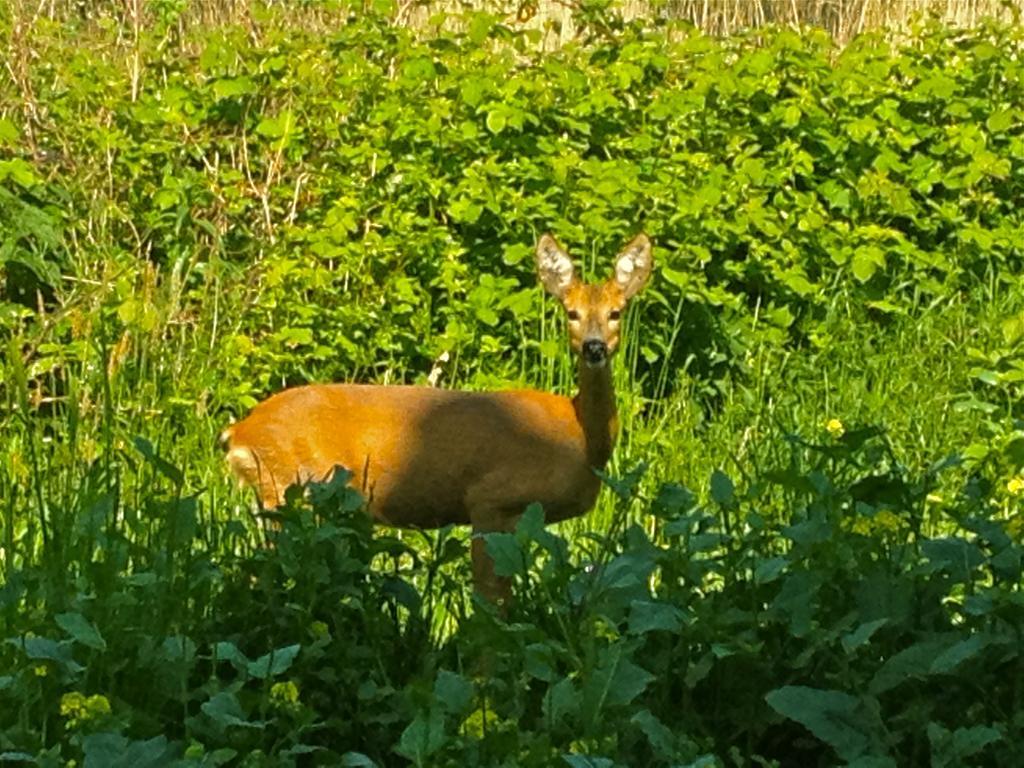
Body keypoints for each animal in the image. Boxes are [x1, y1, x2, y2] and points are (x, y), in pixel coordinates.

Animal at [224, 231, 655, 606]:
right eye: (572, 313)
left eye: (615, 313)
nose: (594, 348)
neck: (580, 437)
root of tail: (238, 432)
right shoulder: (491, 499)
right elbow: (492, 600)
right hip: (296, 489)